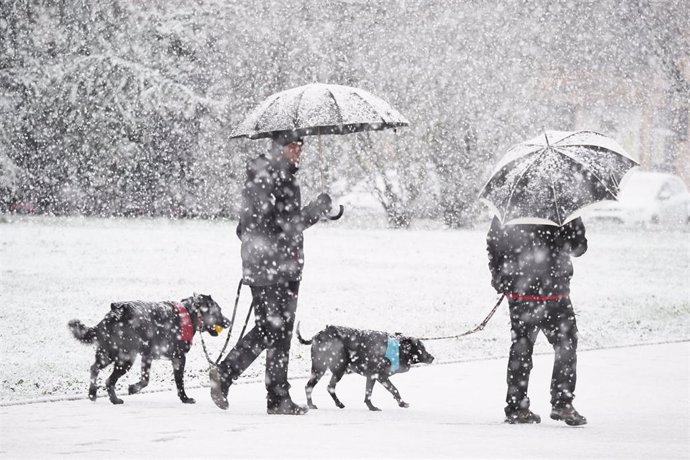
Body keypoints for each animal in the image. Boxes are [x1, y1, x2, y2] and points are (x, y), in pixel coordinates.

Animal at [70, 292, 231, 404]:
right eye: (218, 310)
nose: (229, 322)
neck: (190, 313)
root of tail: (114, 314)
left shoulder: (147, 356)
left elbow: (145, 380)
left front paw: (134, 388)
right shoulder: (179, 358)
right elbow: (179, 381)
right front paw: (185, 398)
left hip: (108, 353)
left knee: (95, 368)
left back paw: (93, 393)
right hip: (125, 358)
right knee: (109, 380)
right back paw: (113, 399)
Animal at [294, 326, 432, 412]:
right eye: (421, 348)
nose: (432, 357)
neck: (398, 349)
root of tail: (317, 336)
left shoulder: (371, 377)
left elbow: (368, 394)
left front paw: (371, 407)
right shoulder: (380, 376)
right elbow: (394, 389)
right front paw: (401, 403)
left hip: (324, 369)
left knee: (316, 386)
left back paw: (332, 404)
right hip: (333, 368)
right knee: (322, 387)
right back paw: (314, 405)